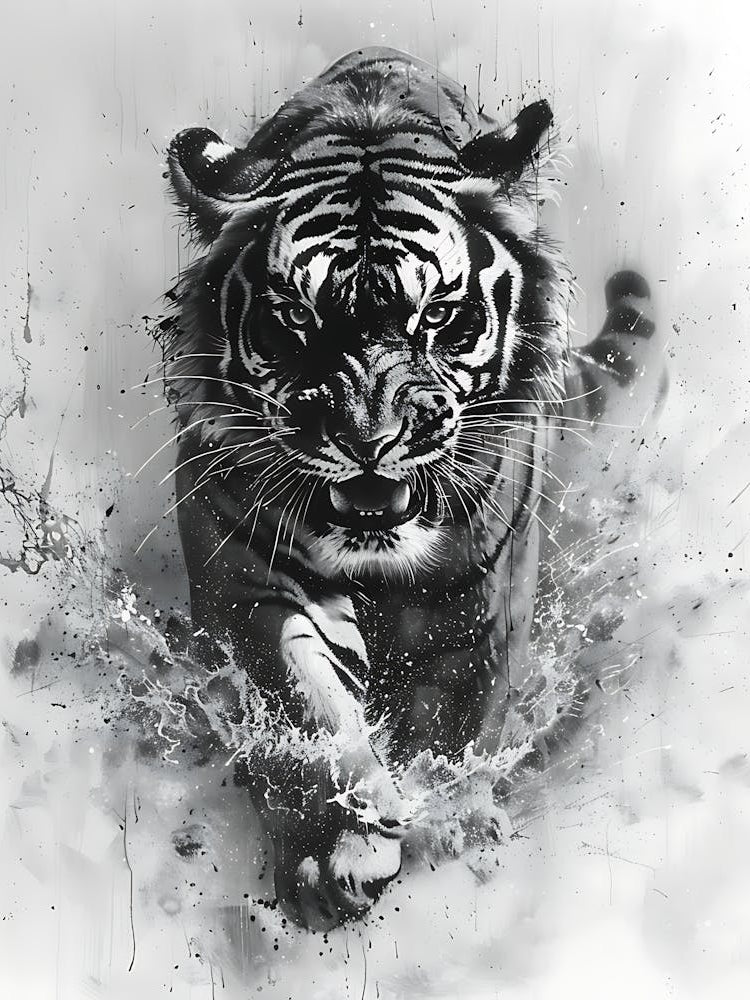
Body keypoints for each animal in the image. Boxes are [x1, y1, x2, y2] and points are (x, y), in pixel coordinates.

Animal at [162, 46, 661, 930]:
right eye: (297, 318)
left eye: (437, 317)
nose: (369, 442)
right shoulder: (245, 579)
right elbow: (306, 705)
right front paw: (338, 852)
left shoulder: (476, 607)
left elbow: (451, 730)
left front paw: (446, 828)